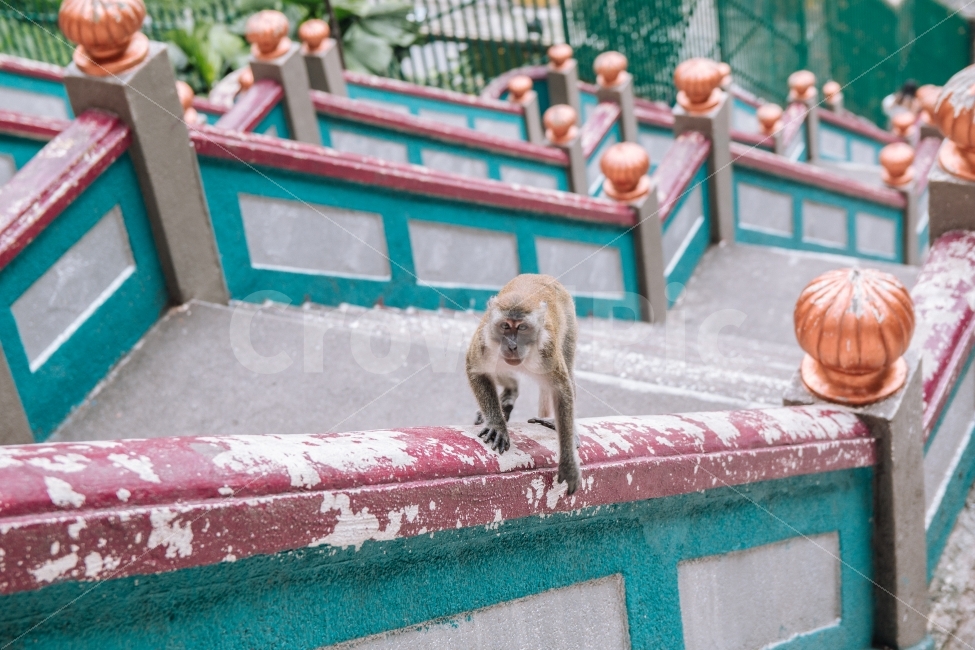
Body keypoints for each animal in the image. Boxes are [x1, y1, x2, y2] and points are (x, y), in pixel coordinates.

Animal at [465, 274, 581, 494]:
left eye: (522, 328)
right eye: (505, 326)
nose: (512, 345)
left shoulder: (548, 350)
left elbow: (562, 389)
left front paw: (568, 461)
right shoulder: (484, 340)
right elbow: (477, 370)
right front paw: (497, 424)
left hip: (569, 318)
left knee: (568, 366)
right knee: (500, 370)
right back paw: (510, 392)